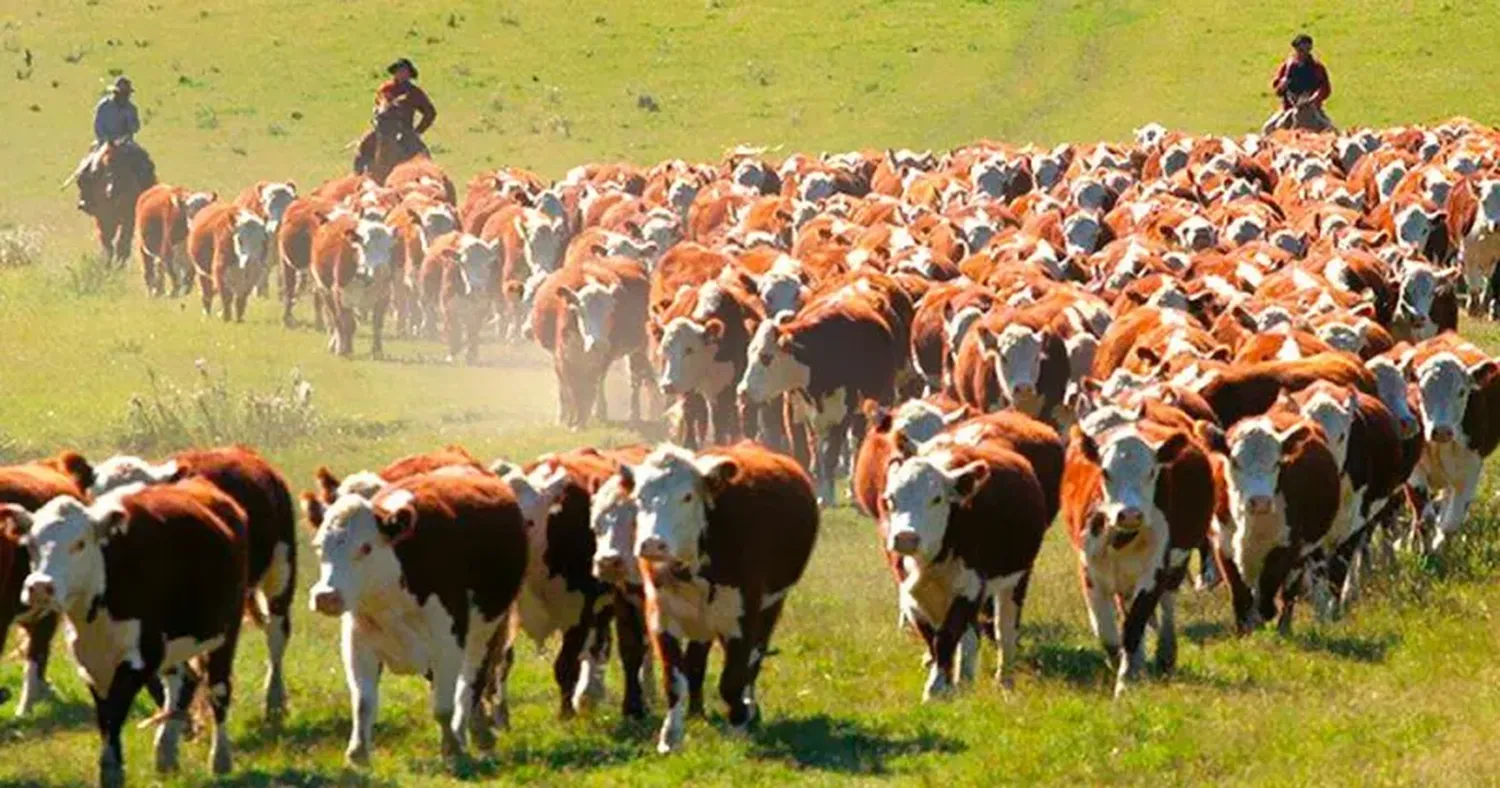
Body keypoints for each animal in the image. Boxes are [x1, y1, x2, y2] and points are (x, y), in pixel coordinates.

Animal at [303, 471, 528, 765]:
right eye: (319, 547)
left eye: (366, 547)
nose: (325, 596)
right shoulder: (357, 642)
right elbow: (363, 703)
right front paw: (358, 754)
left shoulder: (448, 642)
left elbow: (443, 706)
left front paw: (452, 748)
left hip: (484, 633)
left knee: (470, 685)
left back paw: (467, 733)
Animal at [630, 441, 828, 750]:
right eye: (639, 497)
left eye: (687, 496)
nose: (652, 543)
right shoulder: (661, 617)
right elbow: (674, 680)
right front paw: (670, 737)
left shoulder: (743, 616)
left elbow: (732, 679)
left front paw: (738, 725)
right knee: (697, 662)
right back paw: (697, 712)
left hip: (771, 606)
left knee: (753, 661)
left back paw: (748, 706)